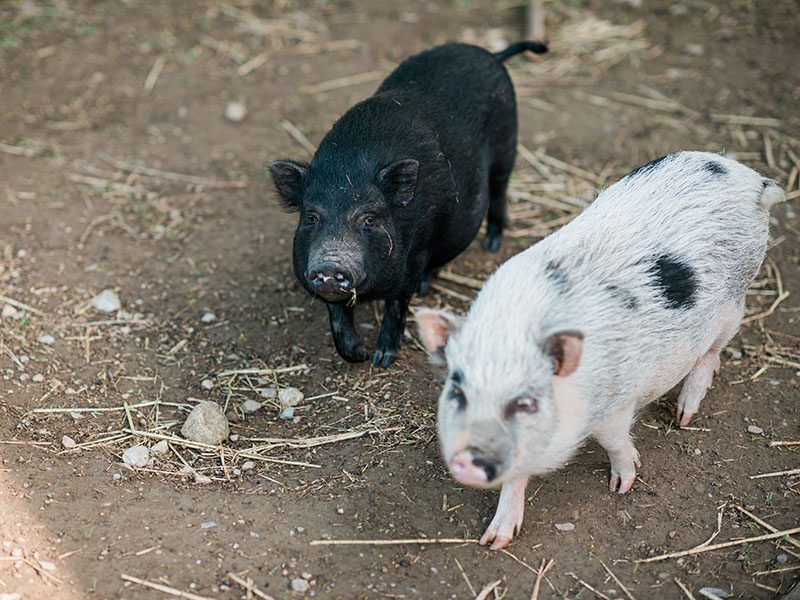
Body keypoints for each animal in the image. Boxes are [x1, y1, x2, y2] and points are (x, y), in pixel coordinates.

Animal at [272, 41, 548, 366]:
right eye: (311, 217)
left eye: (370, 218)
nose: (329, 264)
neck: (348, 171)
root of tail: (493, 55)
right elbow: (338, 317)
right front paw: (358, 355)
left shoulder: (414, 257)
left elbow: (397, 306)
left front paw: (381, 359)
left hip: (507, 147)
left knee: (499, 191)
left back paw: (490, 245)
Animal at [416, 151, 784, 548]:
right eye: (457, 391)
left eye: (525, 402)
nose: (470, 458)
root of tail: (748, 177)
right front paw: (494, 540)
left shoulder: (615, 403)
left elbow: (614, 441)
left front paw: (624, 483)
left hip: (735, 300)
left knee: (711, 353)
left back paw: (683, 416)